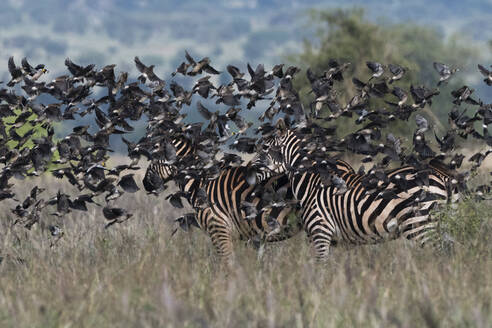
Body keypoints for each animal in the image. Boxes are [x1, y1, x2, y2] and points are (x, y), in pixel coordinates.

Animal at [258, 124, 458, 260]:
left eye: (264, 149)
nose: (250, 171)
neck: (311, 181)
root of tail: (441, 176)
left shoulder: (320, 231)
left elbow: (321, 268)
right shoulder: (343, 240)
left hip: (421, 223)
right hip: (443, 223)